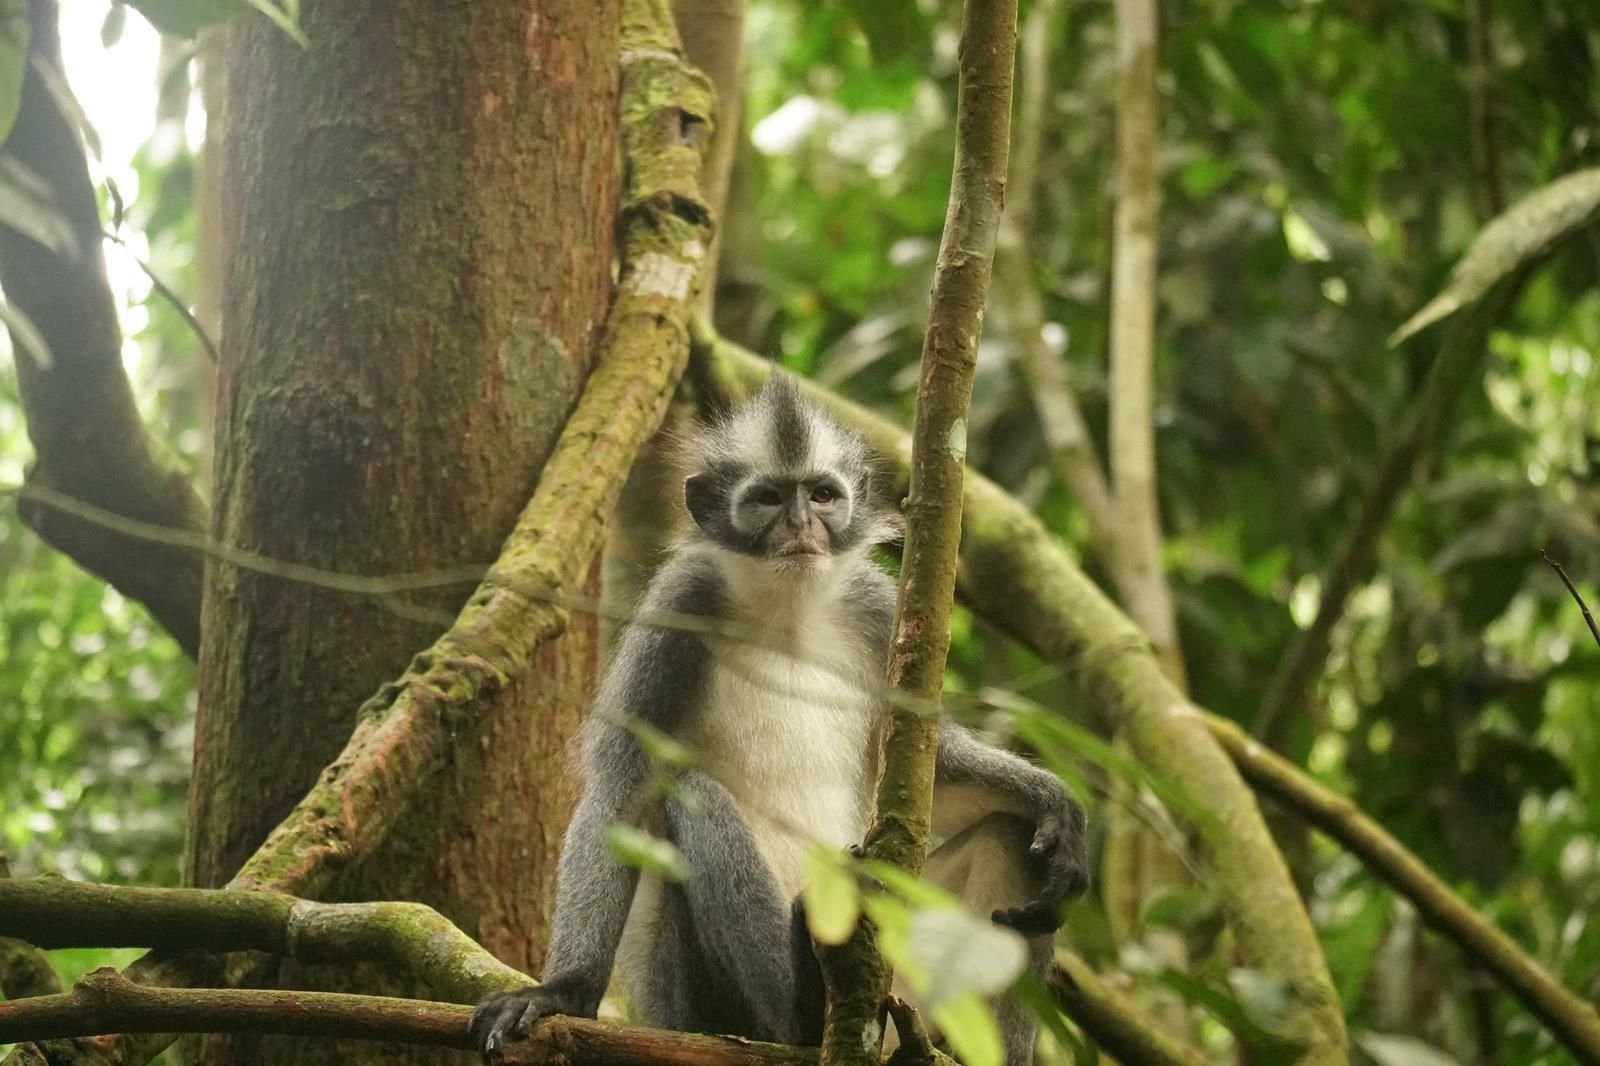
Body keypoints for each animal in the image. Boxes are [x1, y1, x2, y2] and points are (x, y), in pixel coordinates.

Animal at [470, 376, 1088, 1064]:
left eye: (821, 495)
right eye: (767, 498)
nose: (800, 526)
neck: (785, 611)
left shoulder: (878, 612)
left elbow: (944, 769)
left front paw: (1054, 800)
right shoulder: (678, 607)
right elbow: (622, 789)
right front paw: (561, 990)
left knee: (1010, 832)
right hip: (694, 1005)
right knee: (690, 795)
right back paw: (805, 1008)